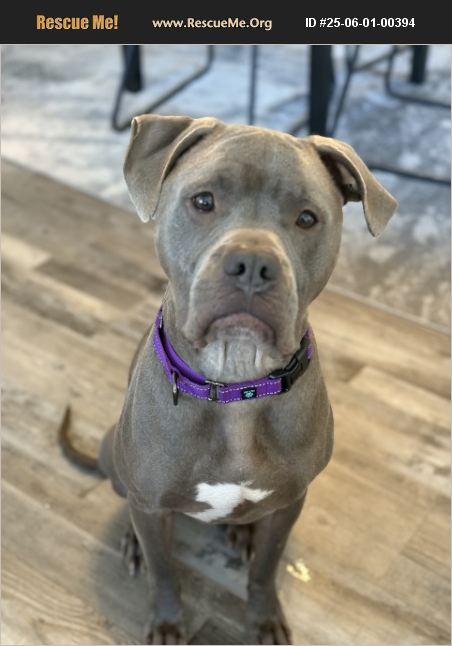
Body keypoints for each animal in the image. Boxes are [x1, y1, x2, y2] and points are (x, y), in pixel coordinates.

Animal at [60, 114, 397, 645]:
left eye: (307, 218)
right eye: (203, 201)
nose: (253, 264)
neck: (237, 384)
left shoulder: (290, 504)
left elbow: (265, 570)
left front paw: (264, 618)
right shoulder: (151, 505)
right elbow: (165, 572)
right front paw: (166, 621)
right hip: (114, 456)